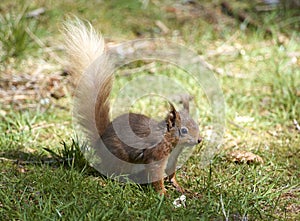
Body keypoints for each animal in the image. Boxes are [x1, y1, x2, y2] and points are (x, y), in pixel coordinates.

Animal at [62, 19, 202, 195]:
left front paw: (179, 187)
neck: (170, 140)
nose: (199, 140)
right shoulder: (157, 155)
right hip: (121, 160)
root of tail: (100, 143)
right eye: (183, 130)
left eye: (197, 125)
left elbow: (172, 173)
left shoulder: (172, 159)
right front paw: (162, 193)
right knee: (113, 172)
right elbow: (156, 174)